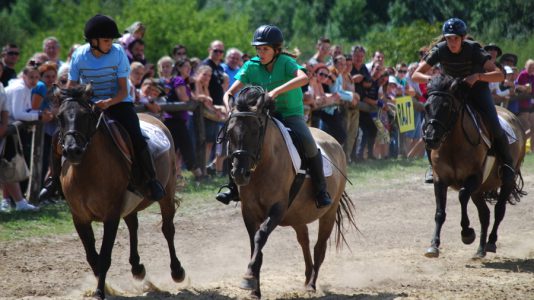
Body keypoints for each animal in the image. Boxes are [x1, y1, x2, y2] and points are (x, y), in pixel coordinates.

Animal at [51, 85, 186, 300]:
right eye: (59, 117)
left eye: (86, 115)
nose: (72, 150)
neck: (87, 173)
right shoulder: (79, 217)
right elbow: (92, 256)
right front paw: (103, 287)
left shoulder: (111, 214)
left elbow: (105, 255)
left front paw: (100, 291)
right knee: (133, 225)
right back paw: (137, 268)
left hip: (167, 192)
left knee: (167, 229)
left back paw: (177, 271)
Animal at [220, 86, 358, 298]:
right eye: (229, 132)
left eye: (255, 131)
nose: (239, 173)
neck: (263, 166)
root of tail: (334, 143)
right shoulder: (248, 212)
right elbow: (255, 246)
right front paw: (254, 289)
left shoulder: (277, 209)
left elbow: (260, 237)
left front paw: (249, 278)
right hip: (297, 216)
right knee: (305, 242)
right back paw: (307, 278)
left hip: (329, 213)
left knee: (319, 247)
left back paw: (311, 284)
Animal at [426, 74, 528, 258]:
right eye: (426, 106)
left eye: (446, 106)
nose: (430, 138)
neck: (453, 145)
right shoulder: (440, 179)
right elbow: (440, 212)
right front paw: (434, 245)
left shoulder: (474, 178)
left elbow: (462, 196)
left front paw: (467, 233)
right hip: (479, 191)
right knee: (484, 215)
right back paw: (480, 250)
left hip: (506, 181)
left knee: (499, 210)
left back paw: (491, 242)